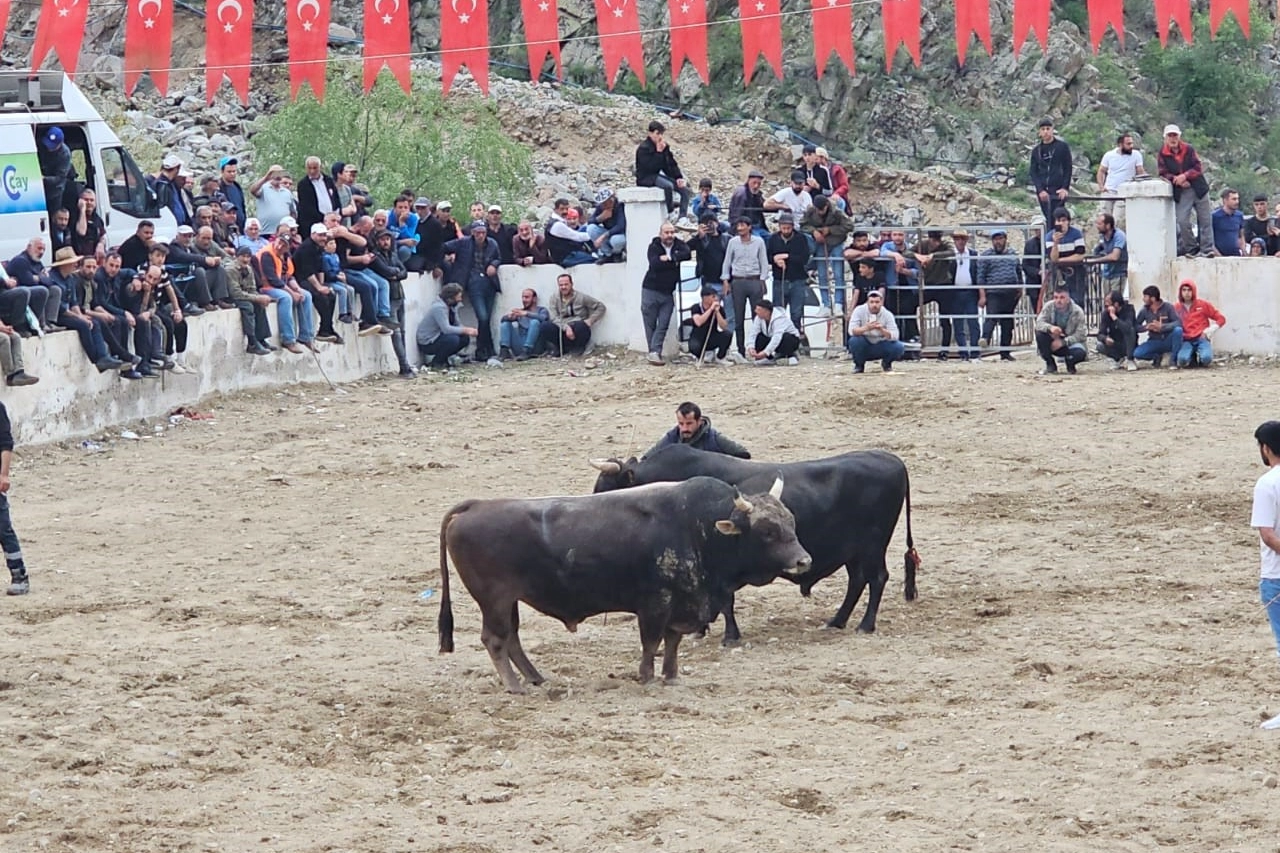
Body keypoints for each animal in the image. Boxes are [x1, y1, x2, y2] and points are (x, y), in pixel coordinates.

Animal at [437, 476, 811, 694]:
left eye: (790, 521)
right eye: (767, 531)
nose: (803, 560)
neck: (697, 526)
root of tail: (476, 506)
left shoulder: (680, 604)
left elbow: (672, 642)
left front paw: (671, 675)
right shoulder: (656, 603)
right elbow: (651, 641)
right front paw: (646, 676)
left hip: (509, 601)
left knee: (512, 638)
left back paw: (536, 678)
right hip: (494, 600)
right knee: (495, 640)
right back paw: (516, 686)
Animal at [590, 444, 918, 642]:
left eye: (605, 486)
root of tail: (892, 460)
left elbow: (724, 601)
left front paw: (724, 634)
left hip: (872, 547)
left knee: (876, 579)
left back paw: (865, 624)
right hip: (854, 552)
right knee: (857, 581)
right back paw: (836, 620)